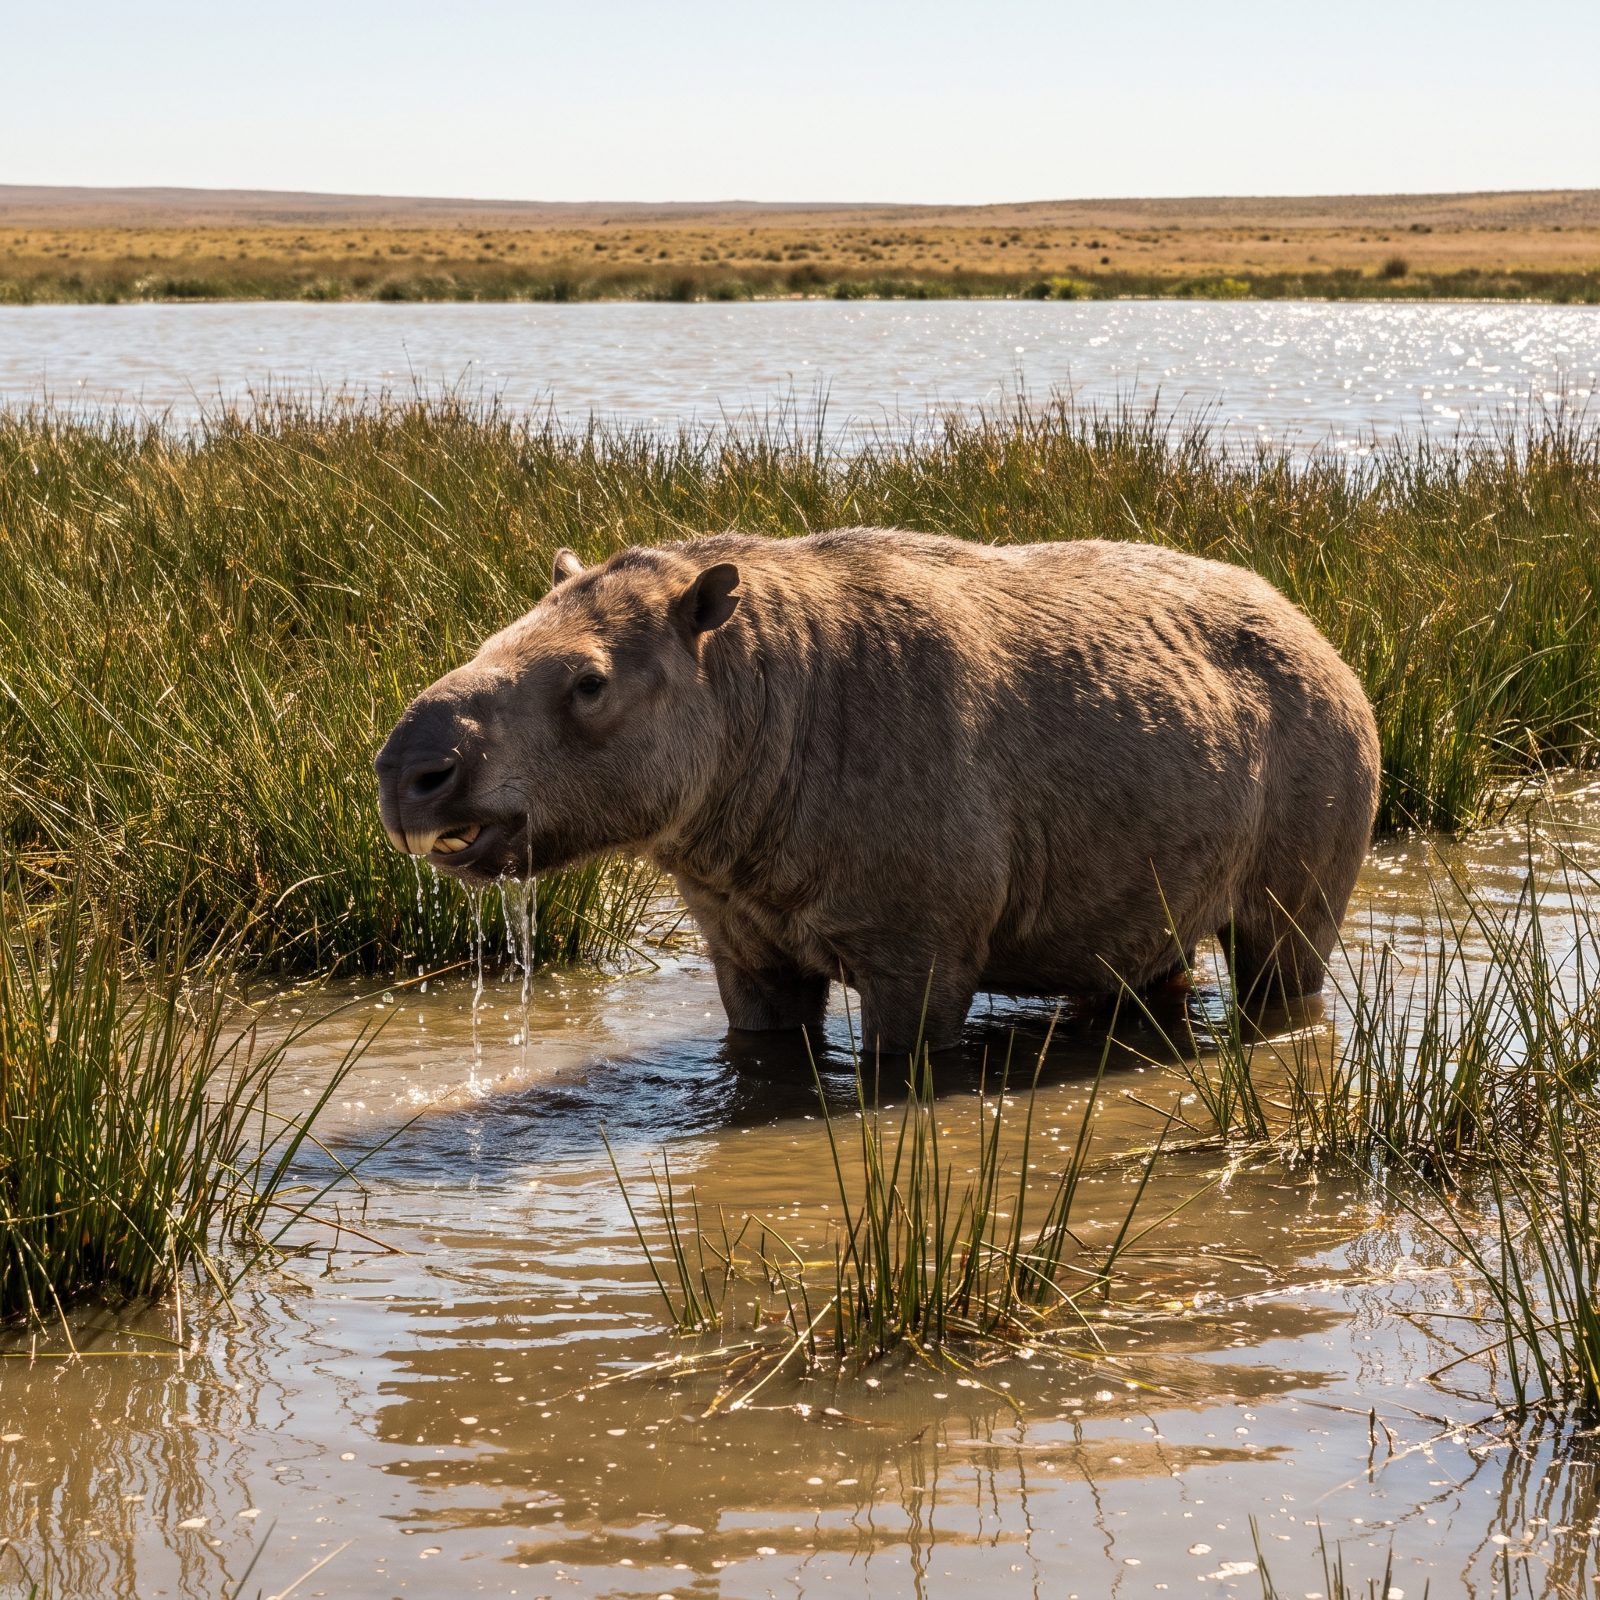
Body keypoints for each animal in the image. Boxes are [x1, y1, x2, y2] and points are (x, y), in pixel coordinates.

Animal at [375, 529, 1380, 1052]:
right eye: (494, 633)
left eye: (589, 681)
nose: (410, 772)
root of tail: (1331, 648)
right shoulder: (748, 955)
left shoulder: (923, 952)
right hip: (1149, 921)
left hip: (1294, 908)